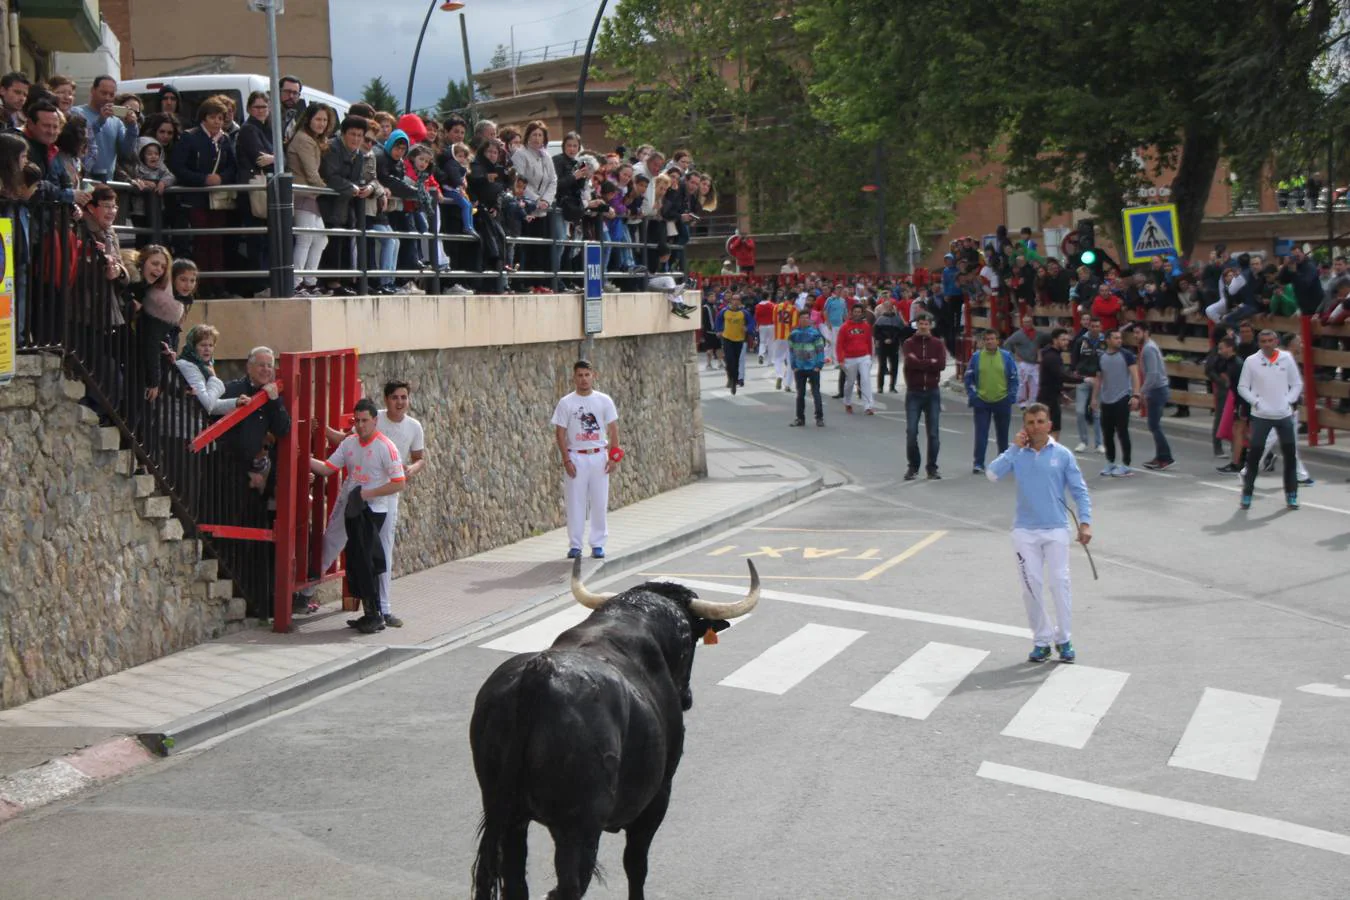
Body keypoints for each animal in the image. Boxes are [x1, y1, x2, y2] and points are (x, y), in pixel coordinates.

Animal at [469, 558, 761, 895]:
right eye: (691, 643)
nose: (686, 697)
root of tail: (539, 674)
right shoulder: (657, 797)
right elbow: (636, 864)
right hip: (578, 826)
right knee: (569, 885)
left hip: (505, 813)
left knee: (512, 880)